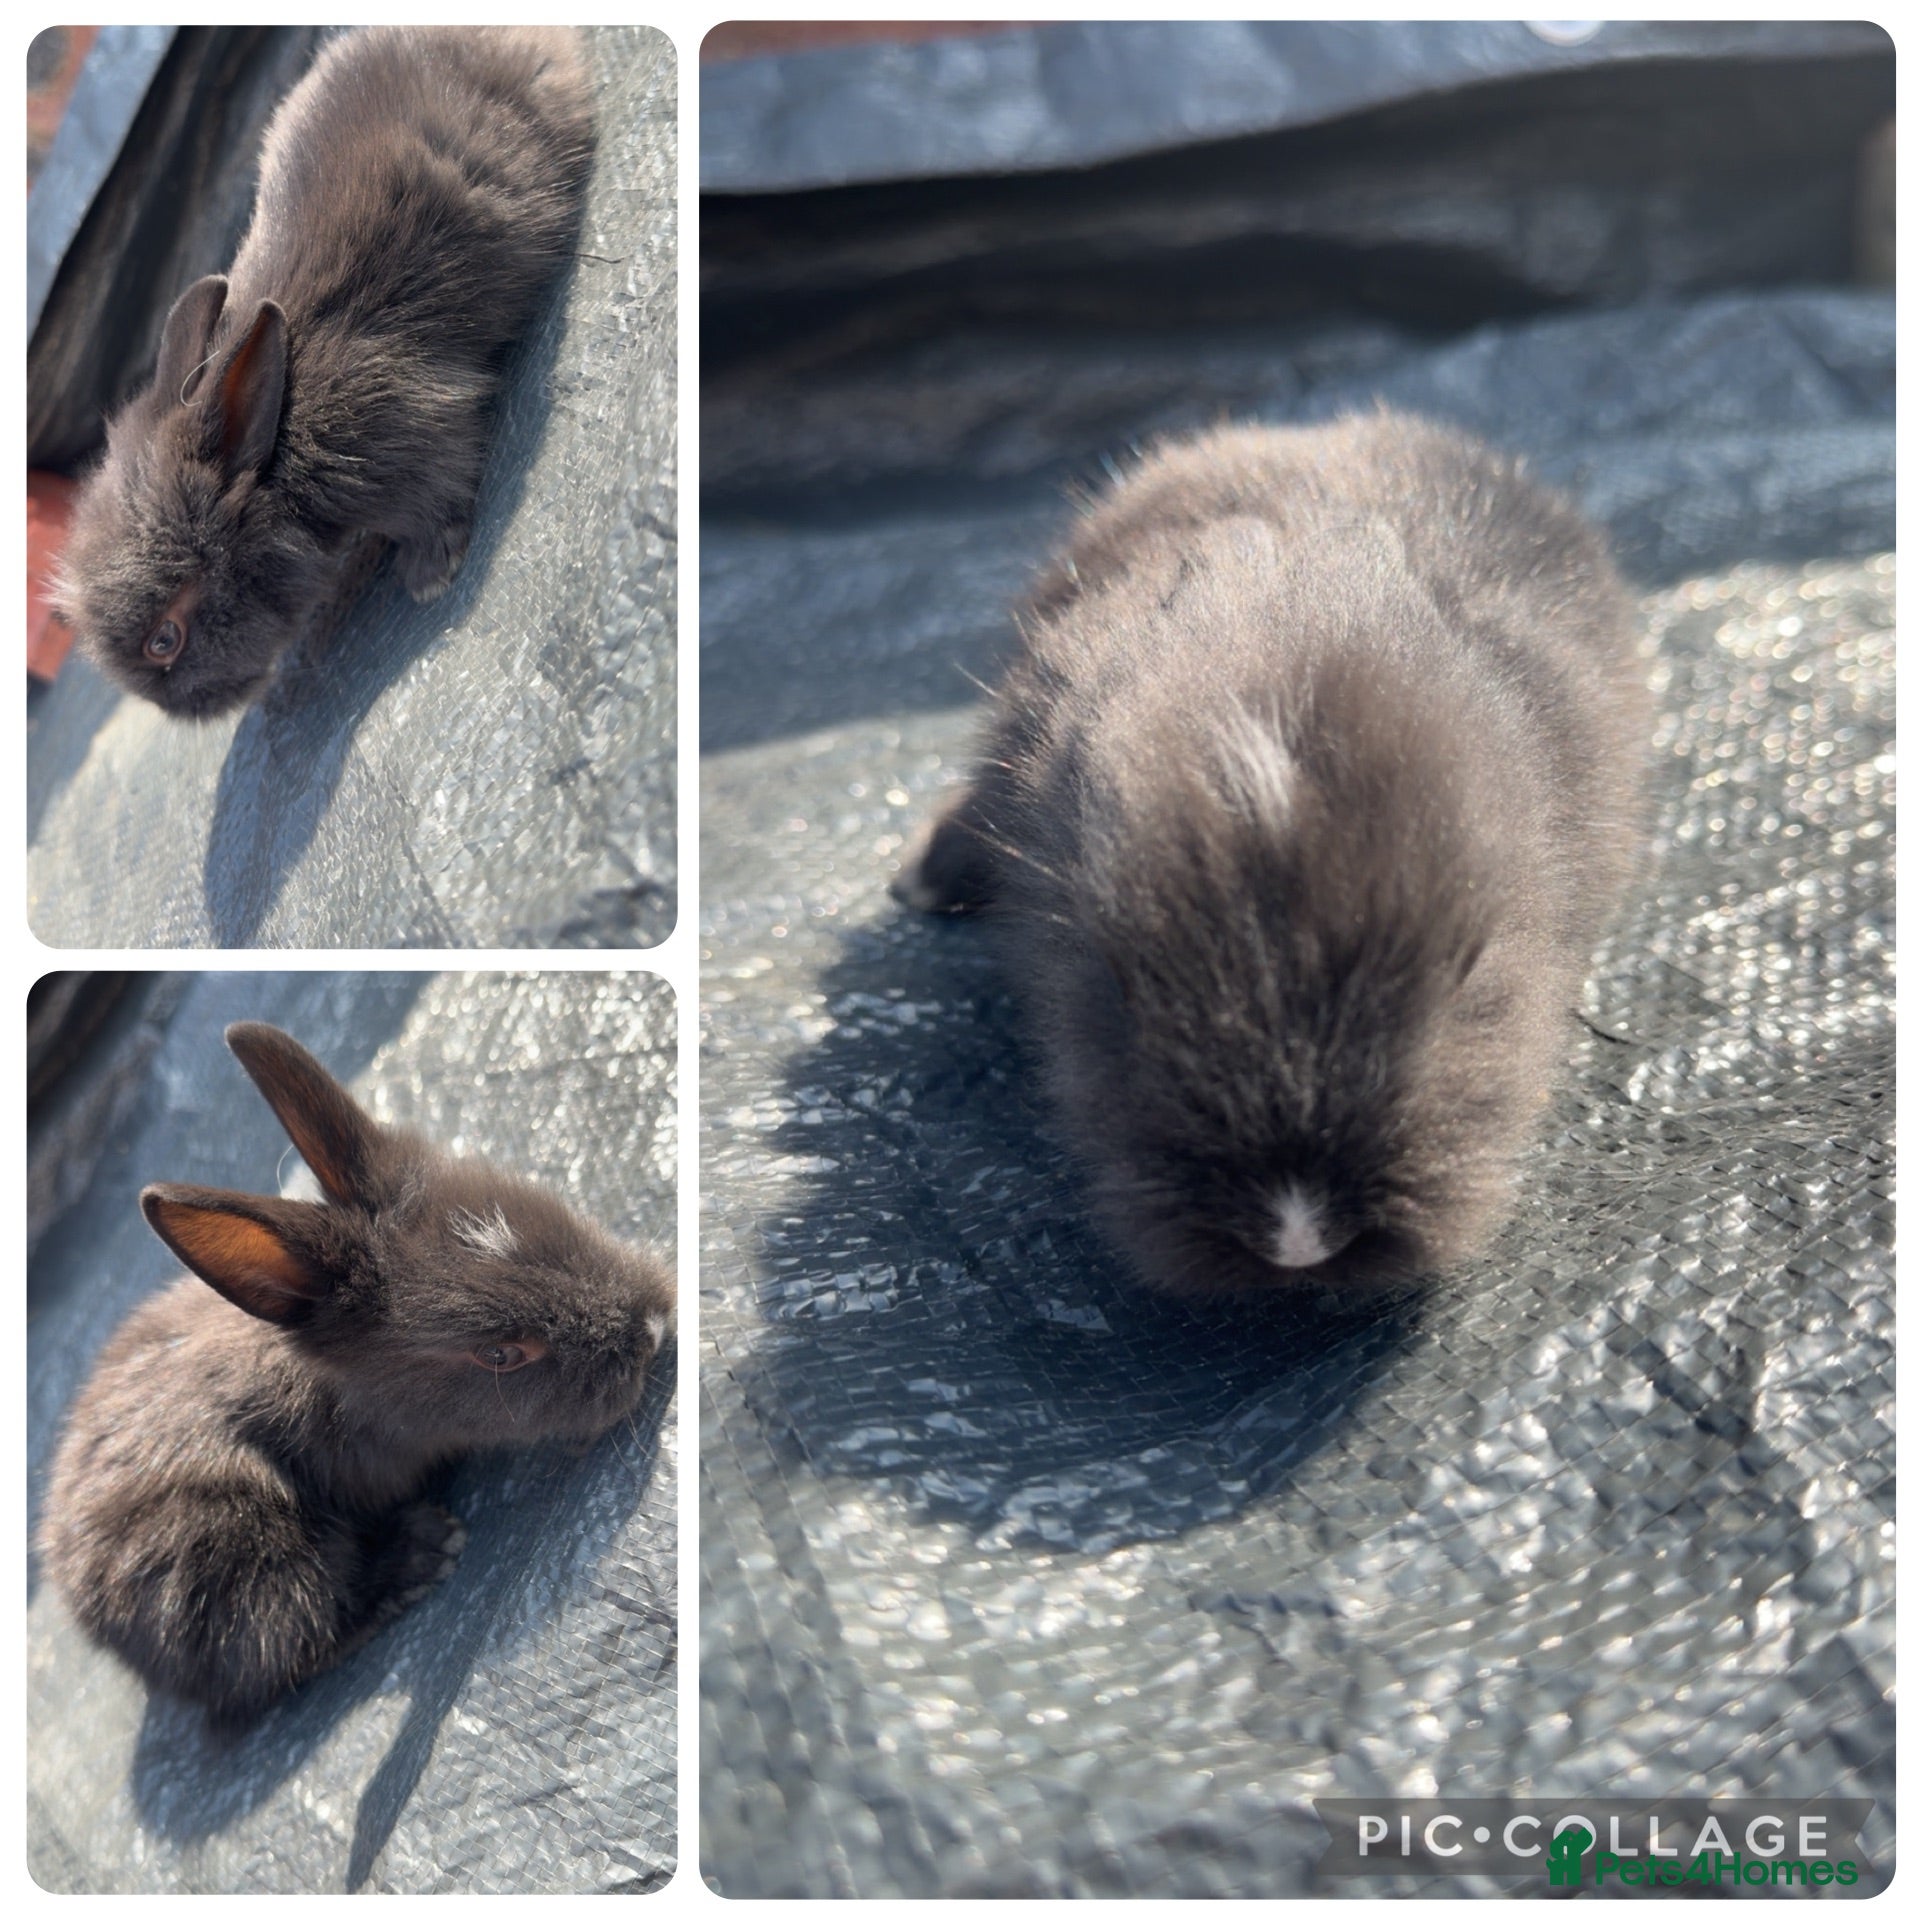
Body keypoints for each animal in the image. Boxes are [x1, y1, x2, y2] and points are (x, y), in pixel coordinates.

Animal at [54, 26, 595, 719]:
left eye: (164, 640)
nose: (183, 712)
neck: (274, 457)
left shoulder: (402, 429)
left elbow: (440, 489)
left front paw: (430, 576)